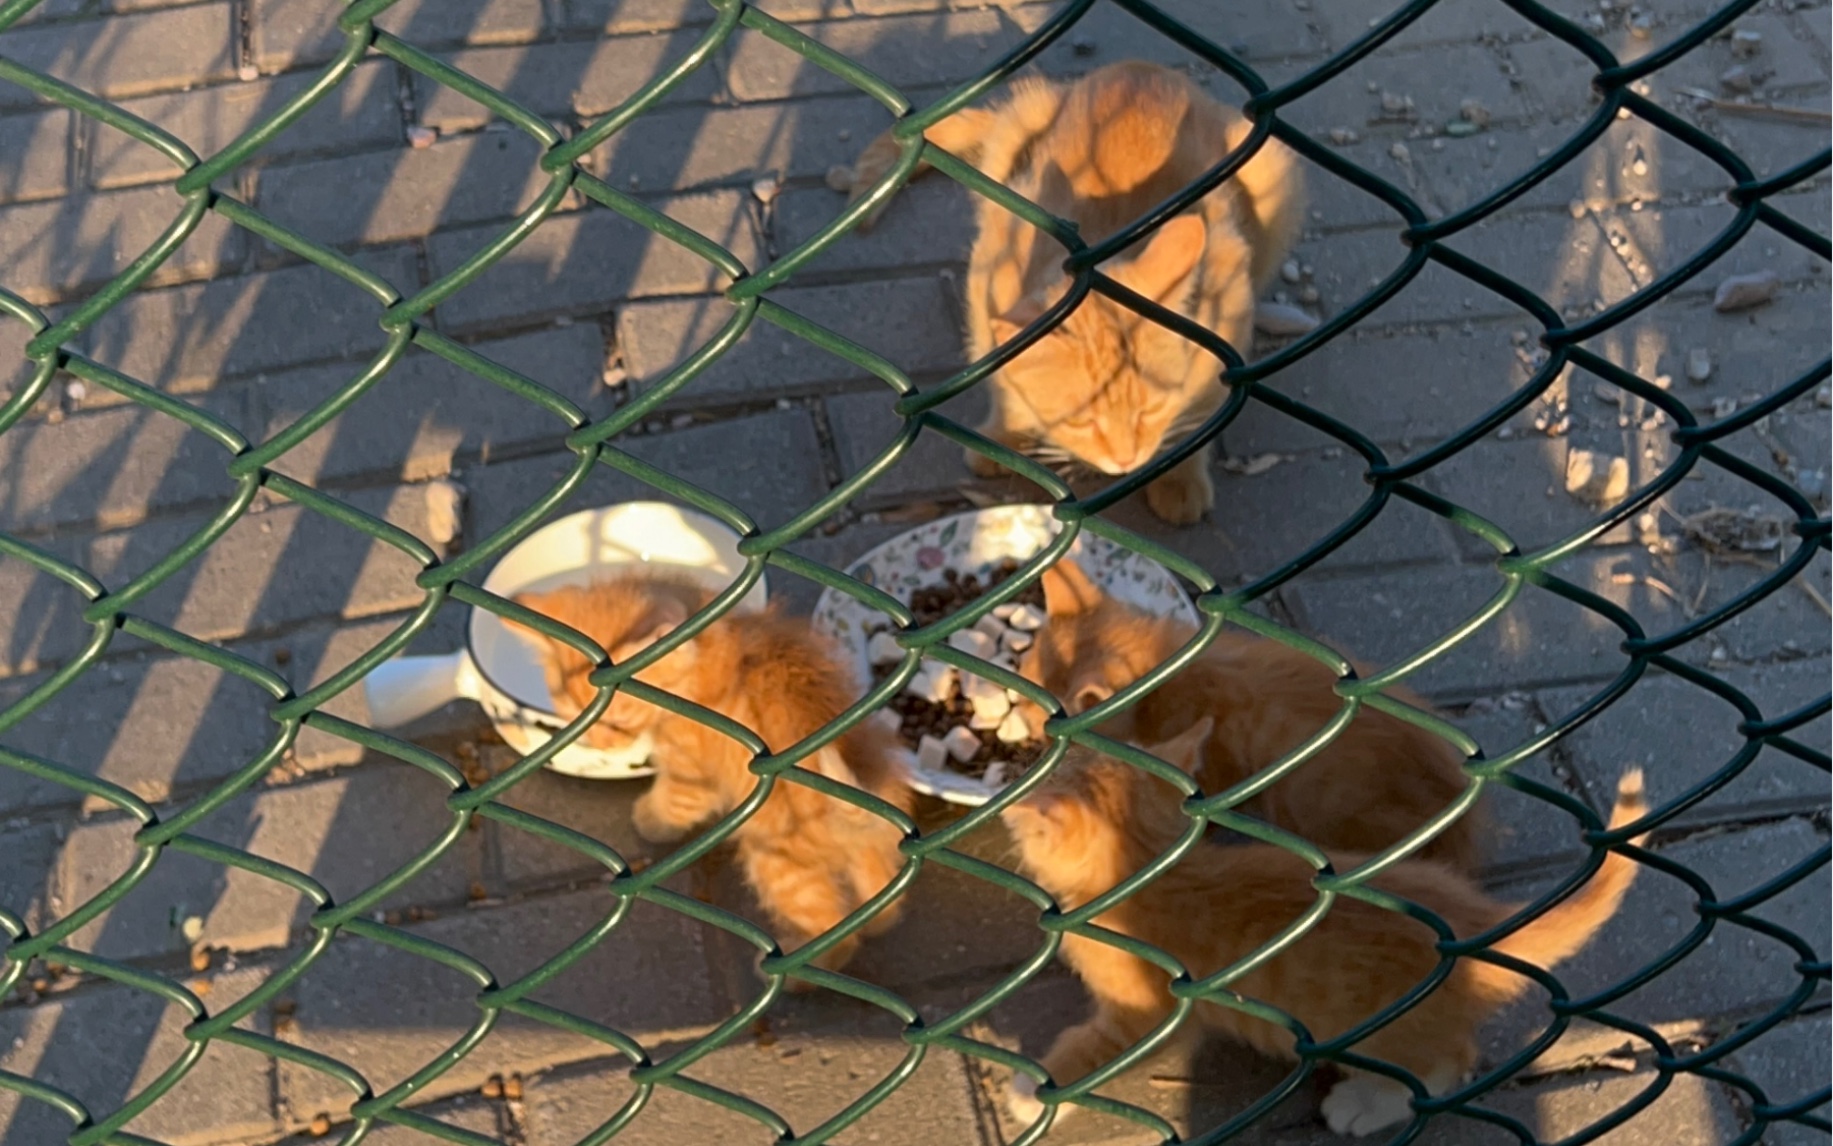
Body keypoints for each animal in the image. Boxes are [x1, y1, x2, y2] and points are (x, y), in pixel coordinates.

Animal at [509, 568, 909, 975]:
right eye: (579, 714)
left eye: (619, 721)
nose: (602, 745)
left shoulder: (694, 776)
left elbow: (675, 803)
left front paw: (648, 819)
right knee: (882, 900)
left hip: (779, 862)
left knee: (834, 931)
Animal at [843, 62, 1305, 524]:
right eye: (1083, 423)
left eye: (1151, 411)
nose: (1126, 461)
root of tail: (1143, 67)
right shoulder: (985, 284)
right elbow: (1004, 385)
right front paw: (1004, 436)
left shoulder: (1230, 320)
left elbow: (1199, 416)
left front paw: (1180, 478)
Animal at [1004, 722, 1649, 1136]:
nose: (1029, 763)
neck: (1151, 869)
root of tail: (1470, 922)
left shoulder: (1150, 1010)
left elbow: (1096, 1050)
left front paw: (1034, 1093)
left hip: (1376, 1033)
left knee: (1445, 1066)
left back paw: (1364, 1105)